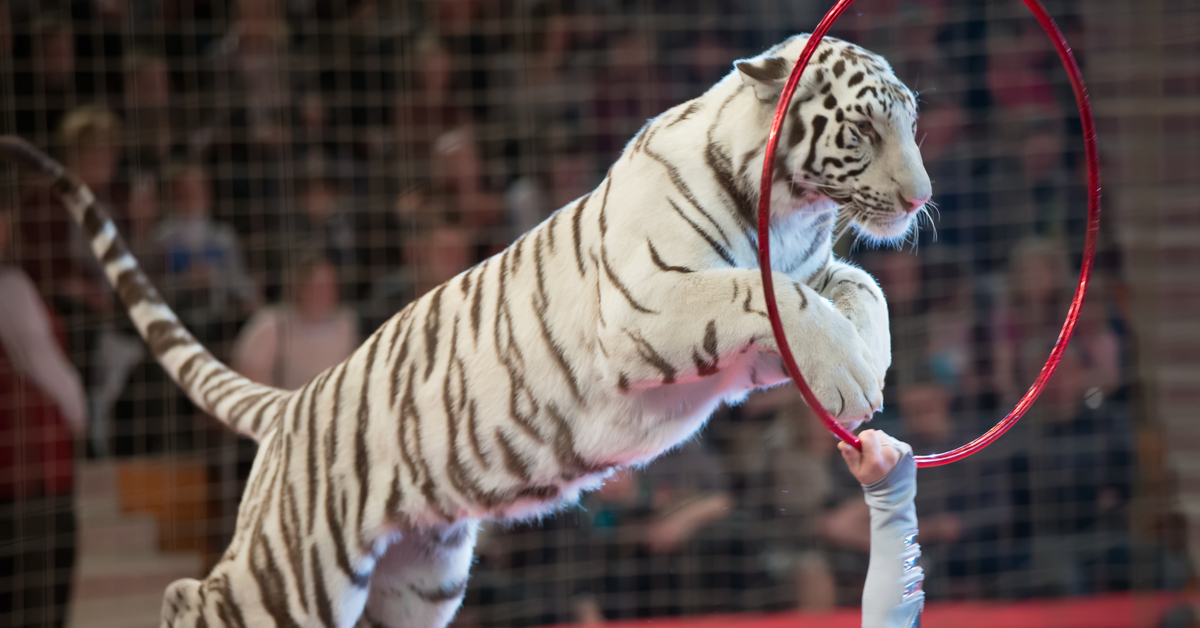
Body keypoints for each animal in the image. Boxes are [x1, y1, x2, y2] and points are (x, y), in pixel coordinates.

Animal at [0, 33, 926, 628]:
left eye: (911, 124)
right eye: (862, 129)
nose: (920, 198)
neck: (793, 208)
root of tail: (293, 403)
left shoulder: (805, 279)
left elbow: (864, 289)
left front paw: (867, 370)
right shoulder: (647, 306)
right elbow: (769, 297)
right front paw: (851, 378)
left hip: (422, 585)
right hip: (292, 577)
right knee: (192, 599)